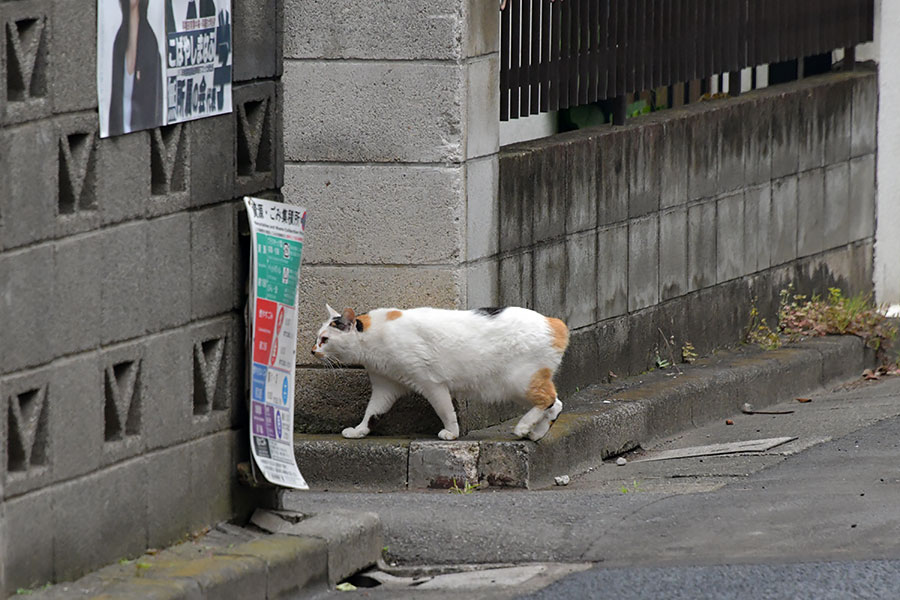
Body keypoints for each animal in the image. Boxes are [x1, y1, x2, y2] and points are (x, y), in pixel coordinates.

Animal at [312, 304, 568, 440]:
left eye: (325, 340)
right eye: (316, 338)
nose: (312, 350)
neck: (373, 336)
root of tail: (555, 323)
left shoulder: (430, 382)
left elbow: (445, 409)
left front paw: (452, 433)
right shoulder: (385, 385)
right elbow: (373, 411)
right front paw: (359, 431)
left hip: (518, 381)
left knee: (548, 399)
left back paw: (523, 427)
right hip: (517, 386)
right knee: (556, 404)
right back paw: (536, 433)